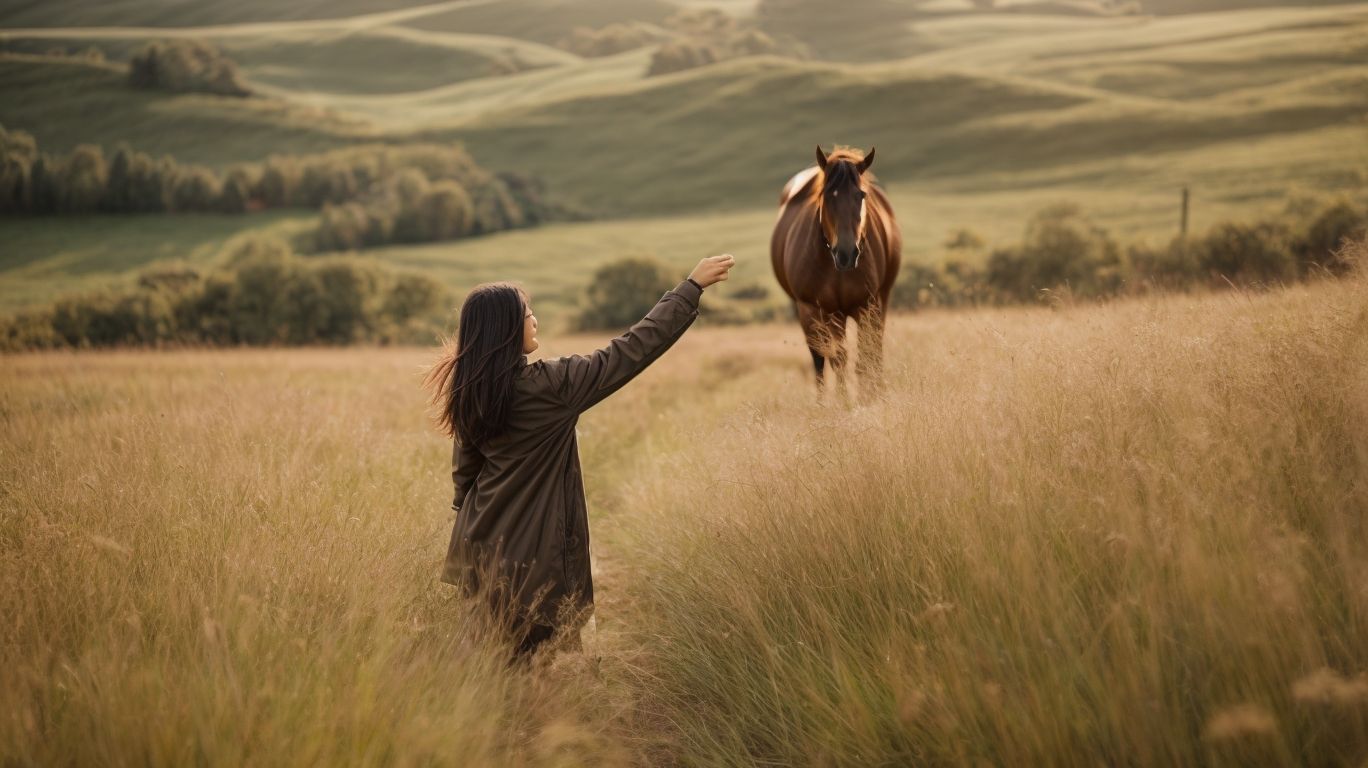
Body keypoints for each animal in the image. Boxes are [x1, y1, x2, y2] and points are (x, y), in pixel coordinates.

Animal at [771, 146, 902, 398]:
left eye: (861, 195)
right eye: (827, 195)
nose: (847, 253)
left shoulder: (866, 305)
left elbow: (866, 356)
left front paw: (869, 397)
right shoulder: (818, 310)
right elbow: (832, 359)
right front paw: (843, 402)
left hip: (878, 300)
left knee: (873, 349)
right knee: (822, 359)